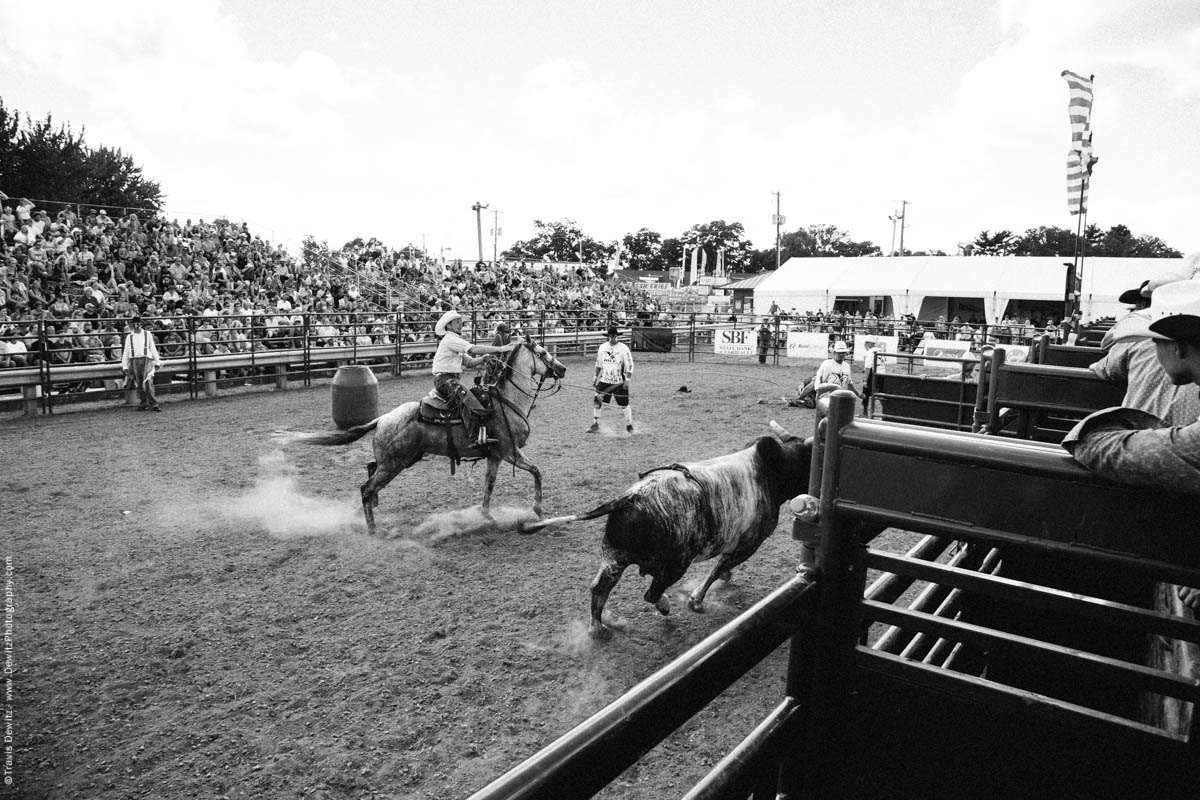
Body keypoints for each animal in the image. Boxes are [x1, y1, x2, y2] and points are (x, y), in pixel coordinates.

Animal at [280, 340, 566, 534]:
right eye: (542, 353)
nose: (562, 369)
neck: (506, 401)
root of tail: (383, 418)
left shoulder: (495, 455)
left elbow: (489, 485)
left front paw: (487, 516)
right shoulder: (510, 452)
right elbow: (537, 471)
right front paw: (538, 508)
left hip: (403, 458)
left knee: (371, 469)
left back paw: (375, 504)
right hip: (395, 463)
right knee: (366, 487)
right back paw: (372, 529)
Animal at [518, 419, 811, 638]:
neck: (769, 470)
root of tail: (632, 497)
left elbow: (722, 567)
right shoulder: (750, 542)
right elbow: (717, 569)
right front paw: (697, 599)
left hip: (614, 559)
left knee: (599, 589)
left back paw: (598, 628)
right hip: (674, 566)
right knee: (651, 593)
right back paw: (665, 606)